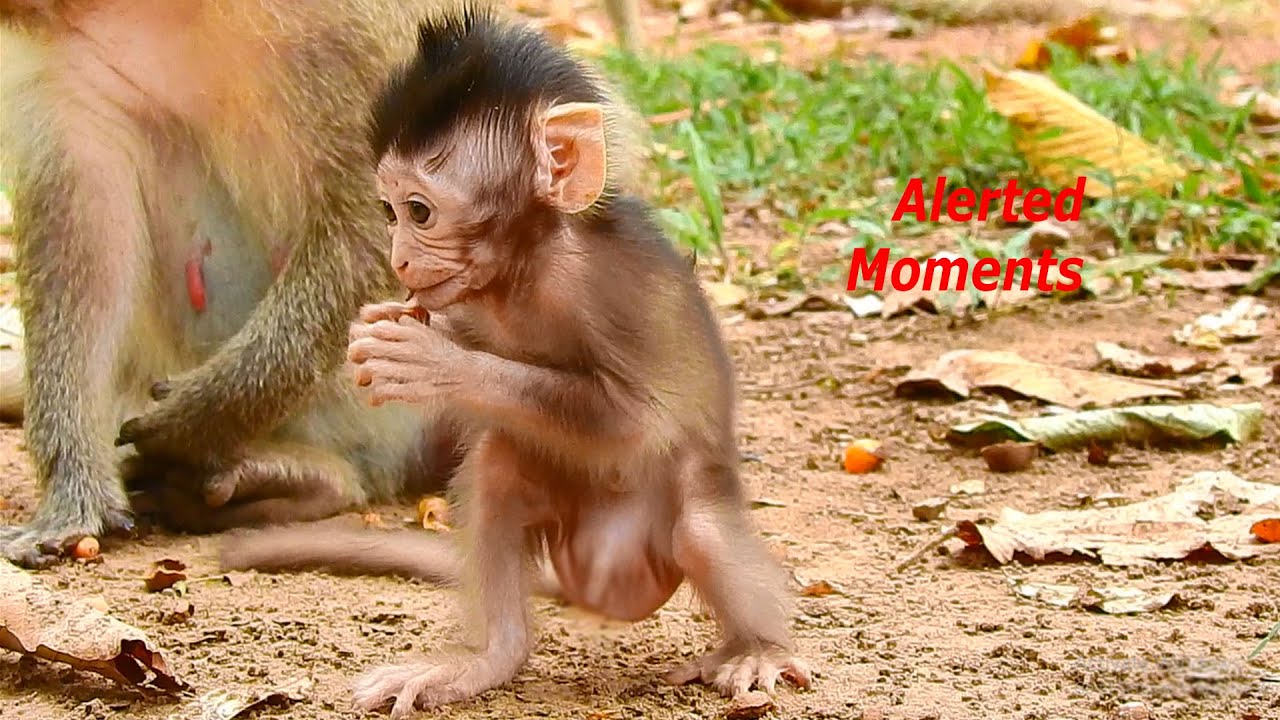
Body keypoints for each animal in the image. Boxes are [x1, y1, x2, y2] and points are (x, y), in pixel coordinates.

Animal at [221, 7, 812, 716]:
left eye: (419, 211)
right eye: (388, 211)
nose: (399, 260)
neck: (525, 266)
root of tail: (599, 583)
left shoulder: (603, 287)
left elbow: (637, 420)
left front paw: (431, 361)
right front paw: (380, 330)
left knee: (700, 531)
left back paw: (760, 649)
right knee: (498, 469)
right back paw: (486, 659)